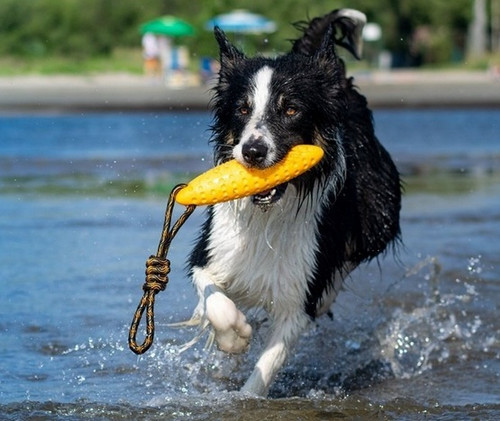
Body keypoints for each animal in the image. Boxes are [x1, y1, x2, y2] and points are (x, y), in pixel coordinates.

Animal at [186, 9, 400, 398]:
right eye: (242, 109)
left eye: (290, 110)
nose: (253, 151)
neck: (269, 215)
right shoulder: (211, 251)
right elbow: (214, 300)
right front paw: (235, 337)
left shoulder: (299, 295)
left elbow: (265, 369)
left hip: (379, 213)